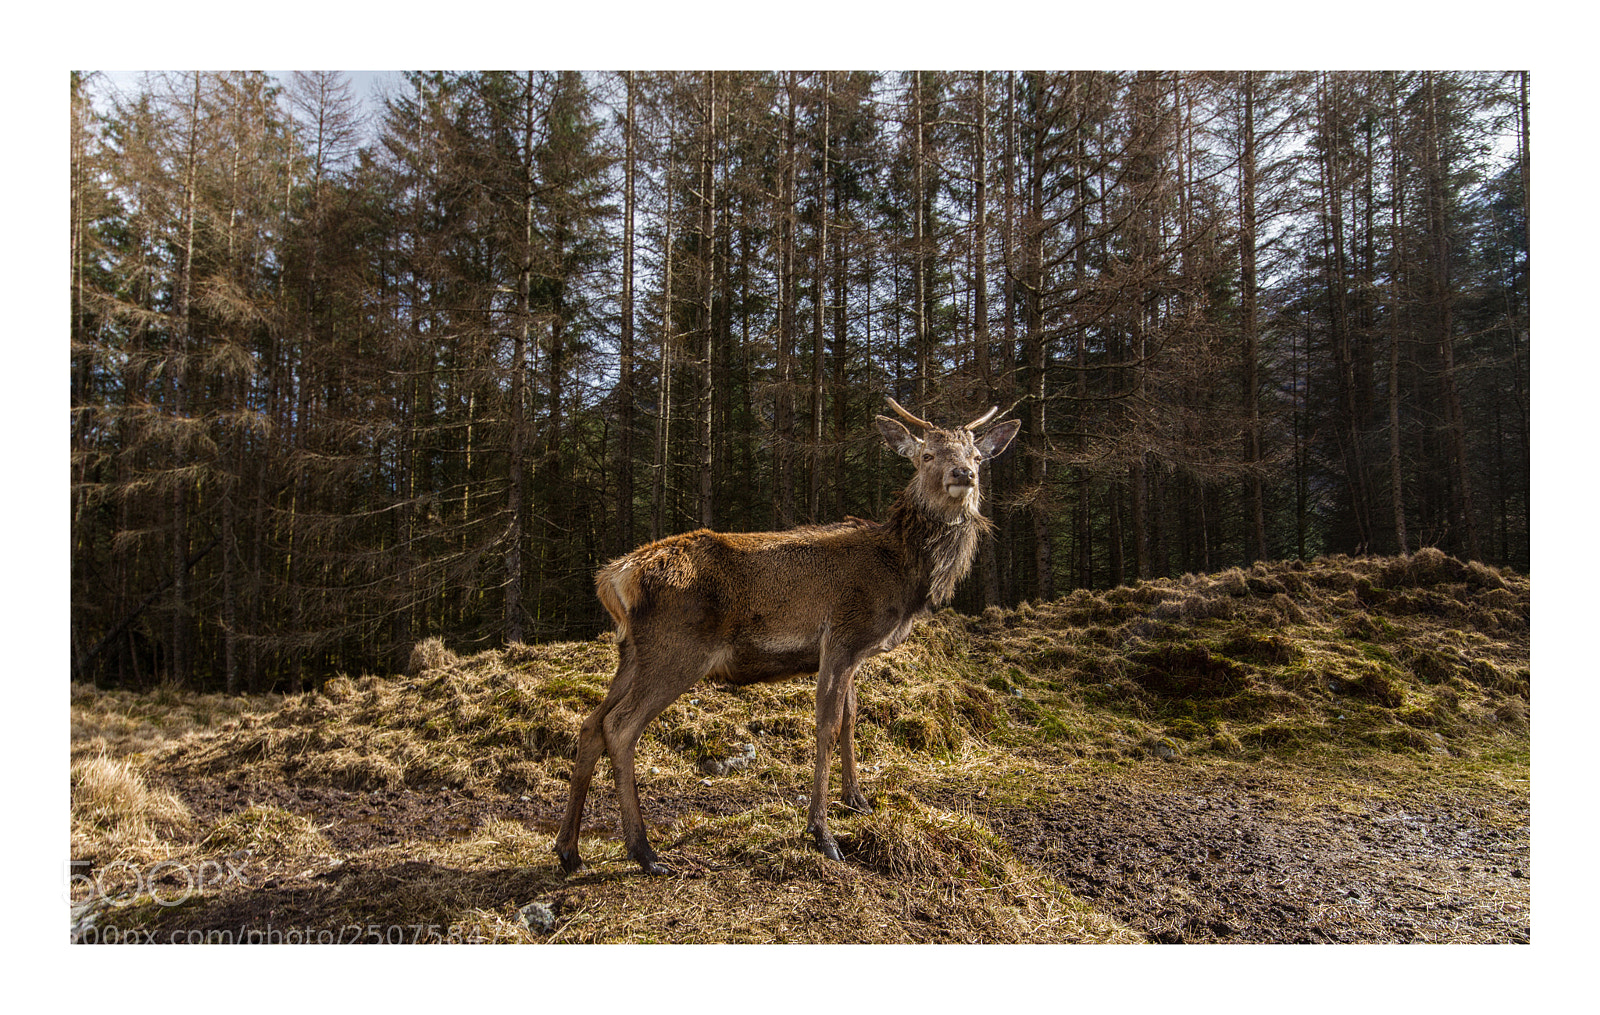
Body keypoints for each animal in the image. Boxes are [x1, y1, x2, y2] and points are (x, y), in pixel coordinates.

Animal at [554, 399, 1021, 875]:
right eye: (927, 455)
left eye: (977, 456)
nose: (963, 474)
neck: (905, 576)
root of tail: (614, 577)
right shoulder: (842, 637)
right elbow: (827, 726)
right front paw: (821, 833)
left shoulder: (855, 652)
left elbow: (851, 717)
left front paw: (857, 800)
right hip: (675, 651)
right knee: (620, 726)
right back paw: (644, 851)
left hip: (632, 653)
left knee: (591, 723)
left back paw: (569, 850)